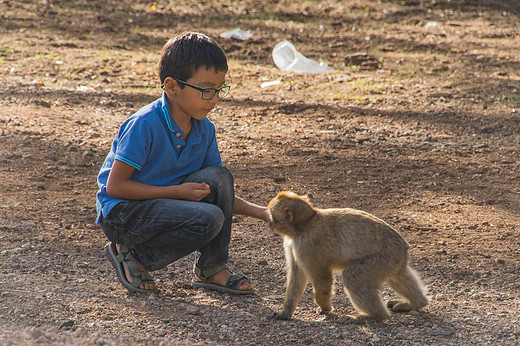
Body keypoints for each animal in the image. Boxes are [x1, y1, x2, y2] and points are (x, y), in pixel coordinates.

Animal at [266, 191, 428, 324]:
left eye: (272, 217)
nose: (269, 223)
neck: (305, 224)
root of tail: (403, 246)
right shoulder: (293, 244)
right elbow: (296, 275)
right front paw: (285, 312)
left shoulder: (307, 245)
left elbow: (323, 278)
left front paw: (325, 307)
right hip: (394, 260)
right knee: (397, 276)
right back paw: (417, 303)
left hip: (384, 257)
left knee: (352, 277)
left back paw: (375, 316)